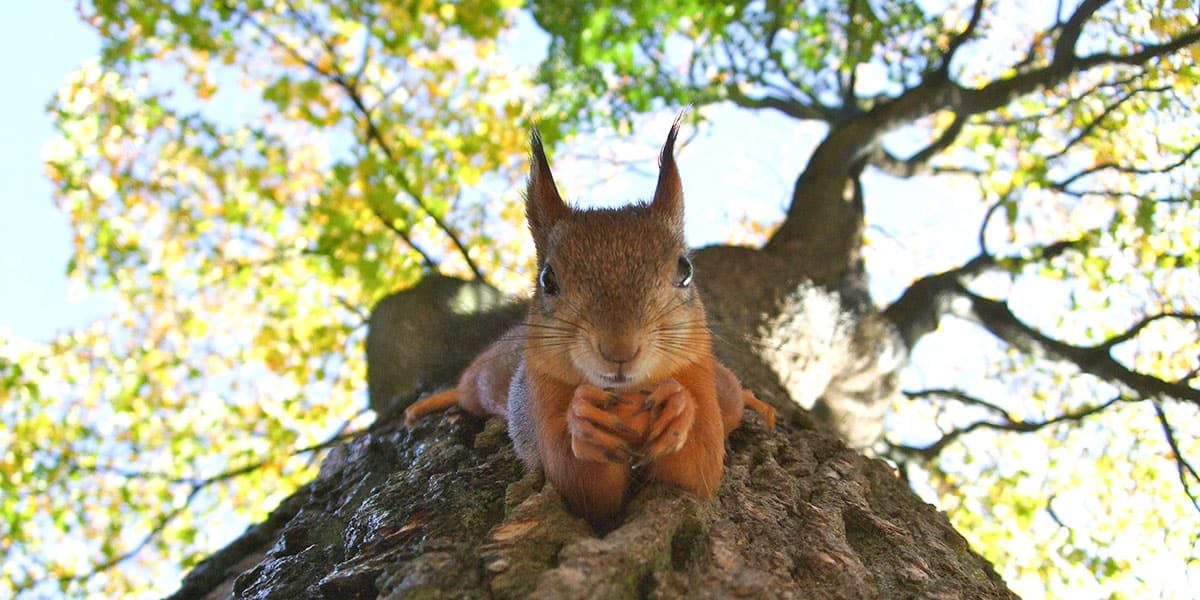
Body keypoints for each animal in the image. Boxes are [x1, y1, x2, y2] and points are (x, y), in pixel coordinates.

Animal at [405, 115, 777, 525]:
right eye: (547, 279)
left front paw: (678, 407)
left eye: (685, 269)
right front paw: (584, 422)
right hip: (487, 379)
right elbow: (582, 487)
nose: (619, 350)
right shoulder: (542, 395)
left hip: (722, 388)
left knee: (733, 395)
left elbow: (698, 471)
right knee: (467, 389)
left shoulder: (698, 375)